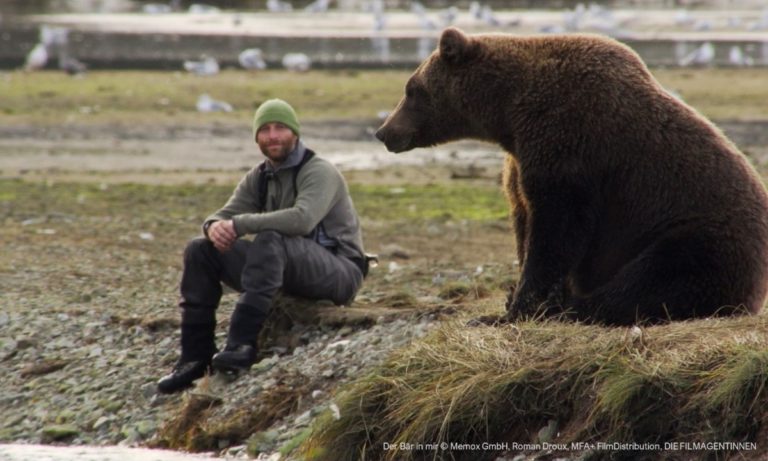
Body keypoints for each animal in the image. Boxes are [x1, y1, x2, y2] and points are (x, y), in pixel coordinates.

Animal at [376, 27, 768, 326]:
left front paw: (518, 308)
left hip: (696, 236)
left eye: (411, 89)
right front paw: (518, 297)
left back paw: (572, 308)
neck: (507, 112)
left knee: (653, 280)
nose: (384, 132)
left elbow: (557, 229)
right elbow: (525, 220)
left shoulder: (568, 142)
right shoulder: (521, 159)